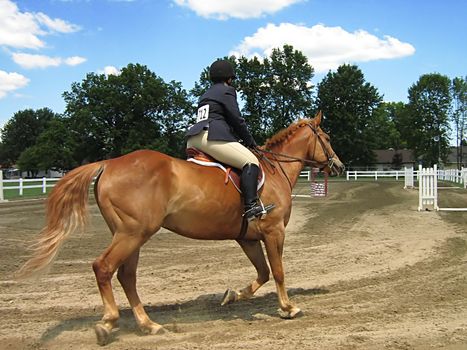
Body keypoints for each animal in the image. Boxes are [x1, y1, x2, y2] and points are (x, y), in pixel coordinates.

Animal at [17, 111, 344, 344]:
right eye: (326, 137)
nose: (339, 166)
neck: (274, 171)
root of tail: (109, 163)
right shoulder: (274, 232)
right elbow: (277, 271)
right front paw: (288, 308)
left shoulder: (248, 238)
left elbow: (262, 273)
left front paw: (232, 296)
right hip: (133, 233)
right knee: (104, 267)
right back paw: (108, 323)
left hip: (130, 235)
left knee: (126, 276)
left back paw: (148, 325)